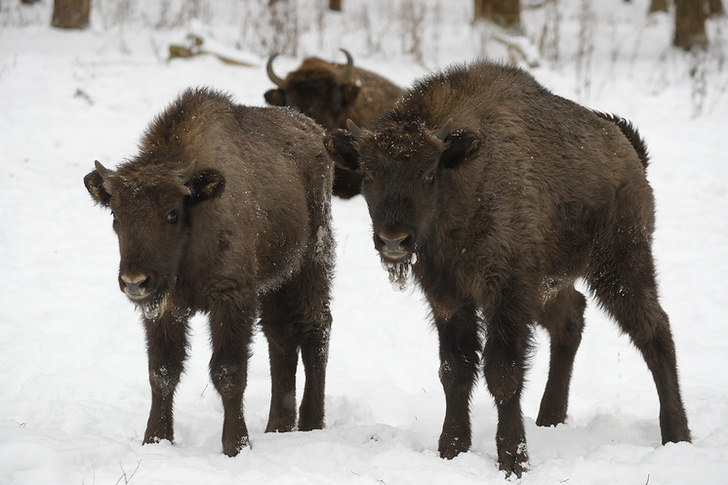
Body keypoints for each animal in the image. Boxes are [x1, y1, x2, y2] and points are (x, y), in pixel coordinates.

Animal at [83, 88, 336, 458]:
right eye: (116, 215)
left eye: (172, 214)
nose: (134, 282)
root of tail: (316, 131)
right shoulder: (167, 307)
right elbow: (162, 372)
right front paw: (155, 440)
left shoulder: (231, 298)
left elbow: (228, 372)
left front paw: (235, 445)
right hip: (274, 282)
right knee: (280, 337)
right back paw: (277, 426)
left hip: (311, 263)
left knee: (315, 328)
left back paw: (311, 423)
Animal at [324, 59, 688, 476]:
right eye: (368, 174)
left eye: (429, 173)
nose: (393, 240)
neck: (460, 183)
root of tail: (628, 149)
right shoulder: (450, 300)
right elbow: (455, 371)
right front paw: (451, 449)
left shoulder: (507, 295)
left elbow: (502, 373)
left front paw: (514, 459)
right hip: (552, 284)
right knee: (572, 321)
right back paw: (550, 417)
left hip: (620, 266)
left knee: (654, 330)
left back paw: (676, 433)